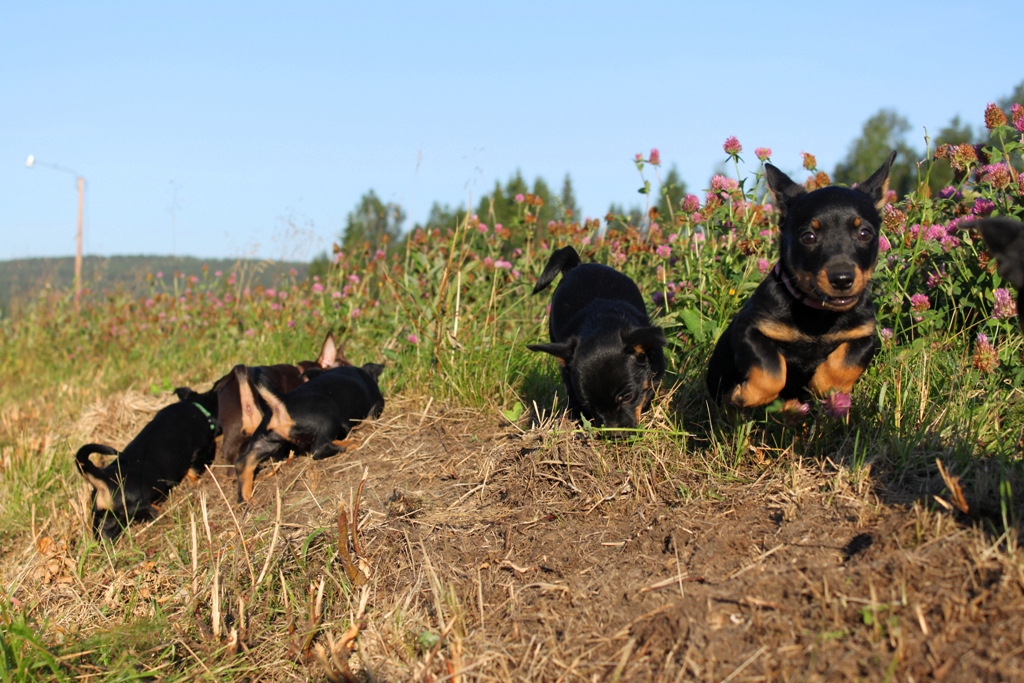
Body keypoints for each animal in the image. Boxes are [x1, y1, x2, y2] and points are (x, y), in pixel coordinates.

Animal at [75, 385, 220, 539]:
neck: (195, 405)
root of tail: (103, 477)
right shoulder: (199, 451)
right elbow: (194, 472)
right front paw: (198, 483)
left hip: (105, 517)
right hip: (139, 502)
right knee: (148, 511)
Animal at [233, 363, 385, 502]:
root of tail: (282, 401)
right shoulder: (377, 405)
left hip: (265, 439)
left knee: (243, 462)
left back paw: (246, 496)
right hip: (328, 418)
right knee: (320, 449)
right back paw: (351, 443)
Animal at [528, 246, 666, 430]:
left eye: (628, 397)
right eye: (589, 405)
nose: (616, 432)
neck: (602, 323)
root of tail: (577, 266)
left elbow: (648, 391)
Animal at [706, 152, 896, 409]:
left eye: (864, 233)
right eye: (808, 237)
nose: (842, 279)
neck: (817, 316)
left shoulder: (864, 336)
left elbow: (845, 364)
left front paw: (825, 387)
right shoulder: (749, 329)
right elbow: (771, 370)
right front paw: (744, 395)